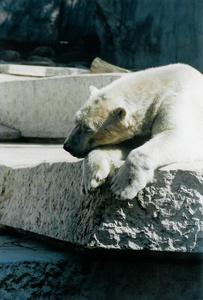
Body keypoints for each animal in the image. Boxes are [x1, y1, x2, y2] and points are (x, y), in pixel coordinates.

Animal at [63, 63, 203, 200]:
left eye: (88, 128)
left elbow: (178, 136)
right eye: (76, 121)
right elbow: (124, 144)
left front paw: (122, 187)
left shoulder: (175, 101)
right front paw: (91, 180)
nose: (67, 146)